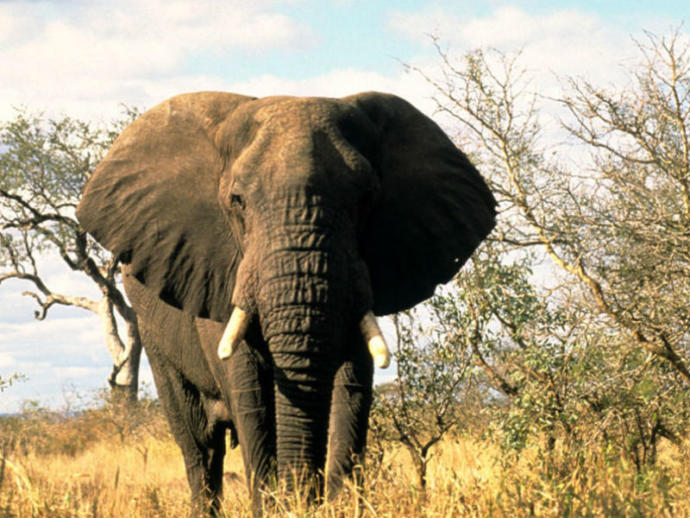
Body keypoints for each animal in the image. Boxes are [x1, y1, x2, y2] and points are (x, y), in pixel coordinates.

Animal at [76, 91, 496, 515]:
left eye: (366, 200)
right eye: (238, 201)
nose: (304, 498)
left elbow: (351, 390)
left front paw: (338, 506)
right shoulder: (219, 270)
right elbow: (252, 398)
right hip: (156, 335)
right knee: (200, 445)